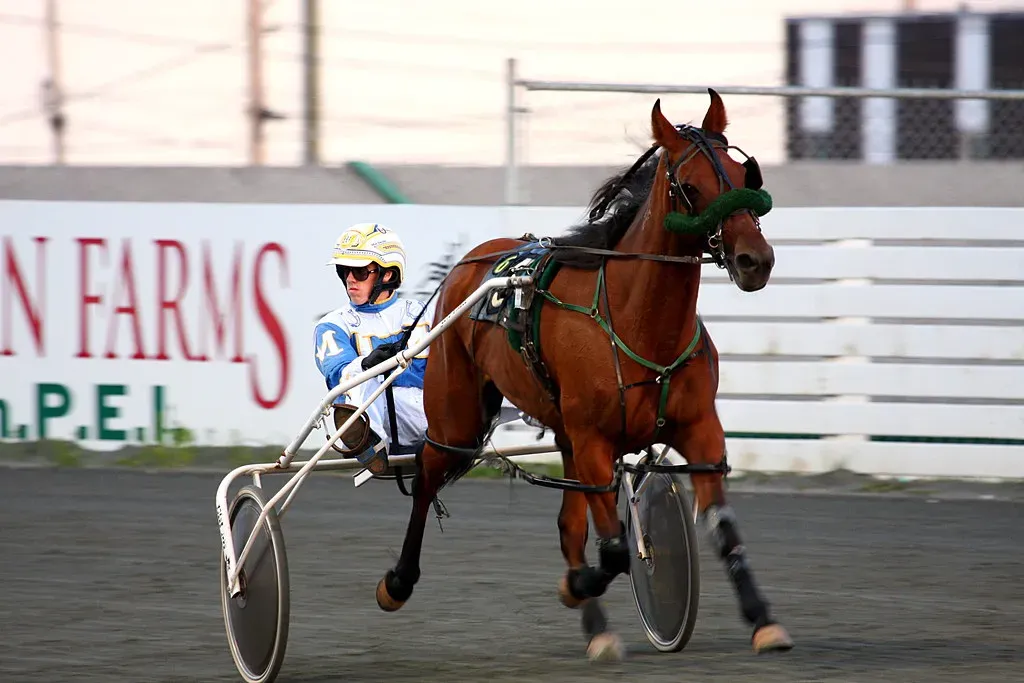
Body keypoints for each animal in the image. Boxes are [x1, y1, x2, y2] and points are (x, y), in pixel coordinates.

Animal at [373, 90, 793, 660]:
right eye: (690, 186)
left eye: (743, 173)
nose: (756, 260)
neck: (637, 322)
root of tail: (473, 259)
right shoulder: (595, 440)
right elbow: (615, 549)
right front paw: (575, 586)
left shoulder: (700, 429)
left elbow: (723, 528)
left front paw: (762, 619)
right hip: (457, 416)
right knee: (426, 475)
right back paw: (397, 582)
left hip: (562, 433)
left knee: (568, 526)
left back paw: (597, 629)